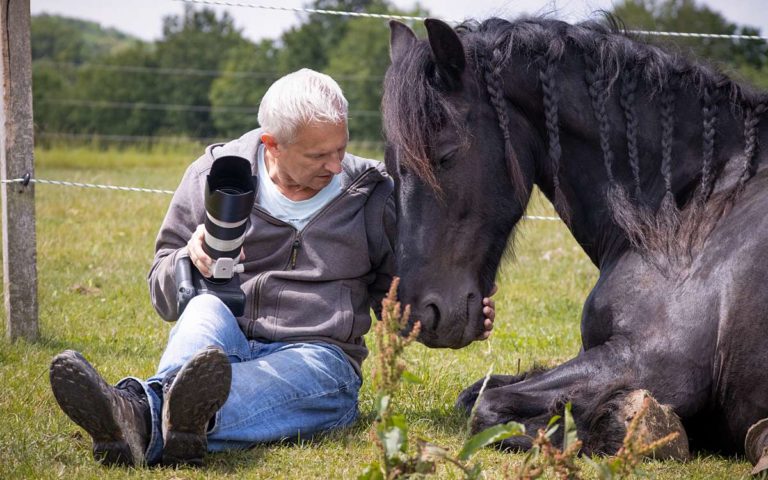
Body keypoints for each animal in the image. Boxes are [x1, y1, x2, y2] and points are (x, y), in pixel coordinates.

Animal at [388, 15, 768, 468]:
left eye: (445, 155)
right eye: (390, 164)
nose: (417, 315)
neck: (694, 208)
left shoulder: (658, 362)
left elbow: (487, 408)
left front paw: (632, 426)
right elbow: (475, 394)